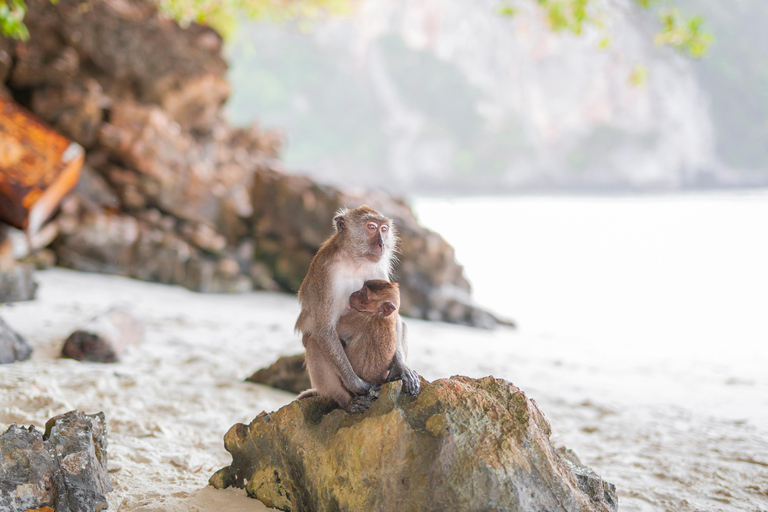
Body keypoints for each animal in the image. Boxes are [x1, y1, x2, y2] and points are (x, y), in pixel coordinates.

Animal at [295, 205, 420, 411]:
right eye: (371, 227)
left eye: (384, 229)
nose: (382, 244)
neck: (355, 261)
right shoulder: (325, 273)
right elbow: (324, 330)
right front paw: (359, 386)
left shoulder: (378, 269)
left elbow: (396, 317)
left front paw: (402, 368)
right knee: (314, 342)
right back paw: (348, 401)